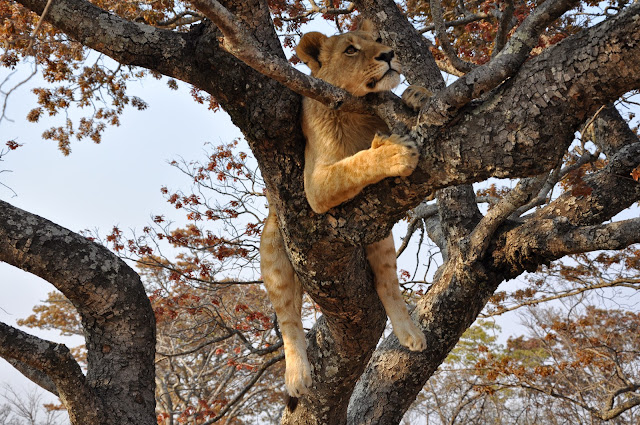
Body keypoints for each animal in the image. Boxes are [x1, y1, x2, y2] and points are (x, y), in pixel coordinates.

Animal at [258, 21, 430, 396]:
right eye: (350, 50)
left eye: (378, 40)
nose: (389, 54)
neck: (356, 111)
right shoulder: (315, 185)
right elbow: (353, 165)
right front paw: (393, 153)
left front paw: (417, 95)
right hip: (275, 242)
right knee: (288, 319)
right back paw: (297, 376)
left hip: (380, 234)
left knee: (386, 283)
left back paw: (410, 334)